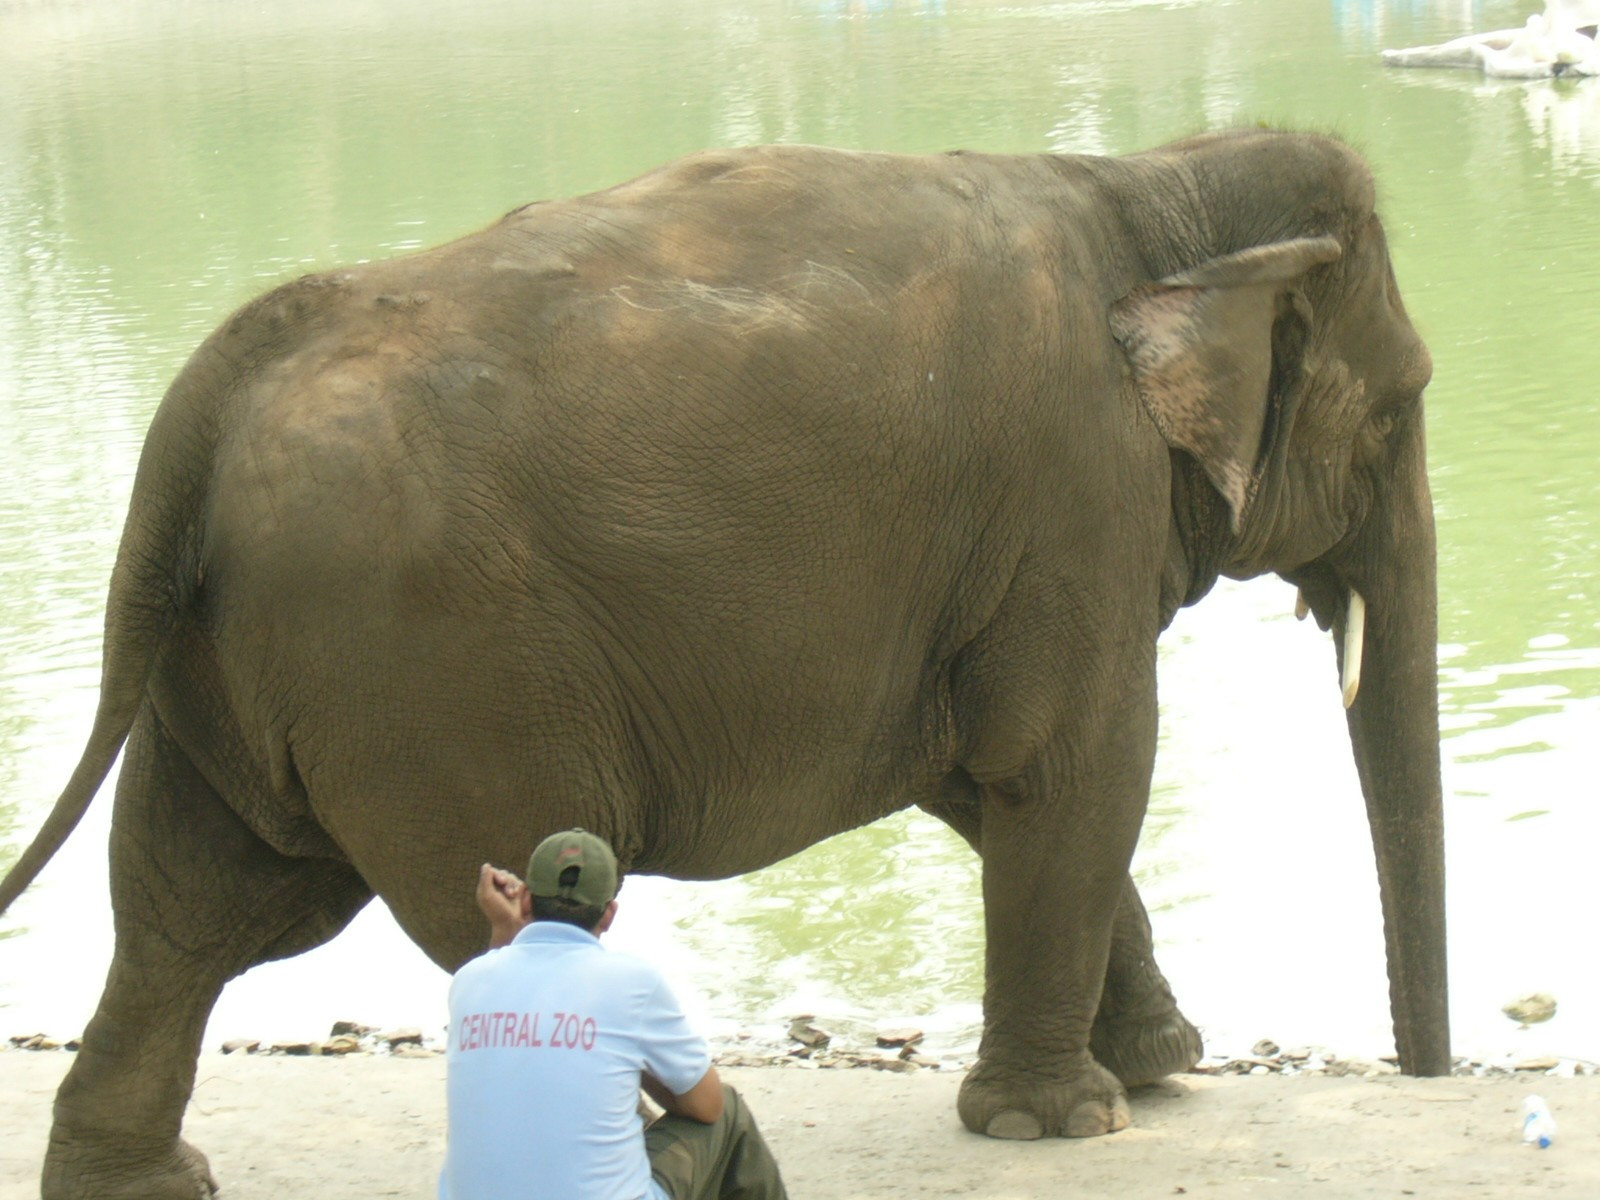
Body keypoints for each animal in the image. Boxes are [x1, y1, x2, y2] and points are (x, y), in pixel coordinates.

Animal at [0, 127, 1452, 1196]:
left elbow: (981, 783)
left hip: (240, 660)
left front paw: (1154, 1066)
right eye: (1398, 410)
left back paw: (141, 1182)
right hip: (428, 671)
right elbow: (1070, 762)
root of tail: (213, 392)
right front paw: (1067, 1123)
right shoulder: (1074, 496)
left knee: (189, 904)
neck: (1156, 186)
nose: (1430, 1082)